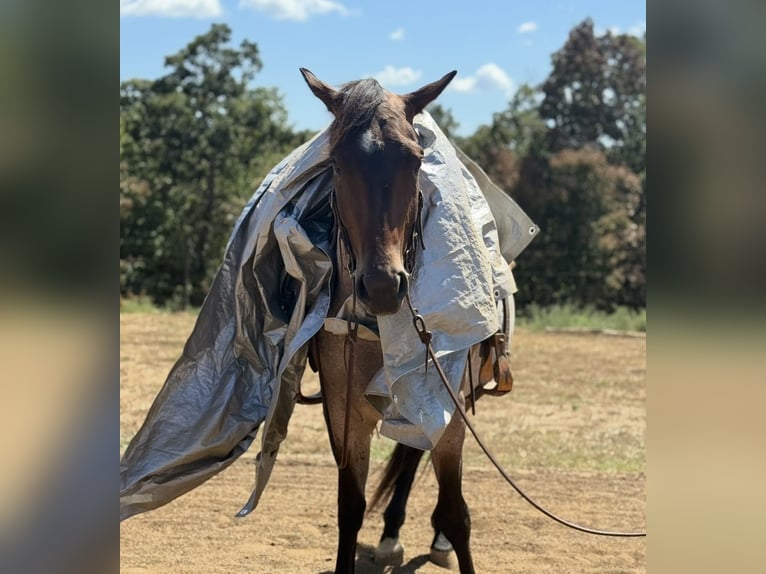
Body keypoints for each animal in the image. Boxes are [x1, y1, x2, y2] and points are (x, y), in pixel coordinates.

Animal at [301, 68, 509, 574]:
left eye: (415, 161)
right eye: (337, 163)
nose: (381, 286)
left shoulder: (450, 407)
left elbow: (456, 512)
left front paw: (446, 536)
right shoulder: (344, 415)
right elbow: (350, 507)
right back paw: (391, 534)